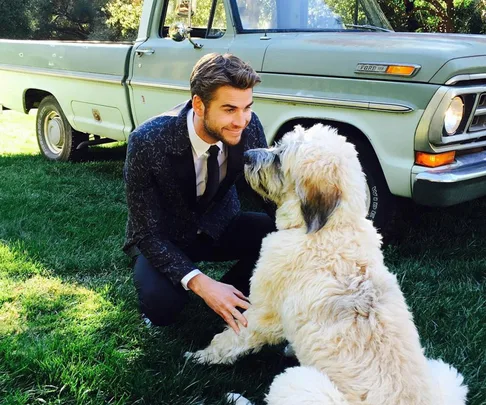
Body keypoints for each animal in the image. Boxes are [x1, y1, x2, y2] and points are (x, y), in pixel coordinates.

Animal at [186, 124, 468, 402]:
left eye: (280, 155)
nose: (245, 155)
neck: (333, 226)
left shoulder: (263, 311)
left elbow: (230, 339)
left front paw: (199, 357)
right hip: (446, 373)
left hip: (296, 382)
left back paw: (235, 397)